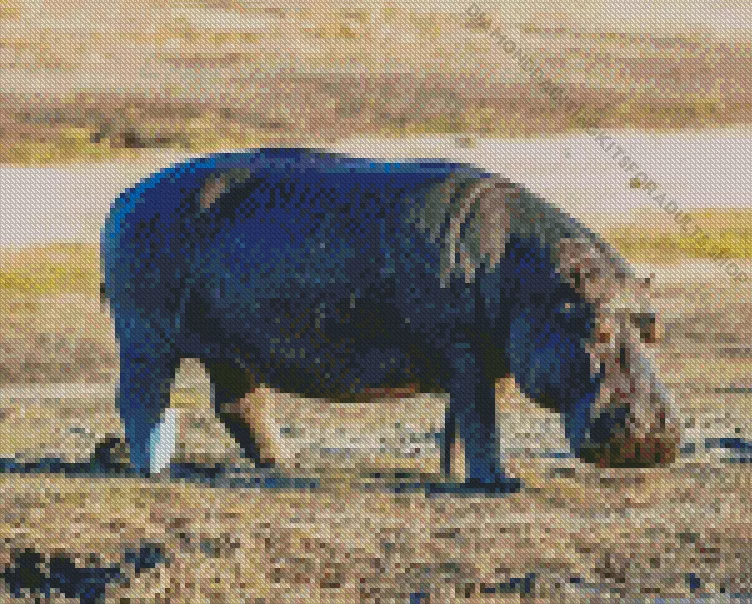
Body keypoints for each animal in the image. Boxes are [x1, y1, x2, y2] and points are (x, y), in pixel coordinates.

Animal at [101, 148, 679, 493]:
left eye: (652, 327)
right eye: (595, 328)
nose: (652, 436)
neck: (538, 281)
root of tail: (125, 195)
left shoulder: (482, 358)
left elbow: (464, 421)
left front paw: (454, 472)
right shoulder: (467, 355)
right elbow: (481, 419)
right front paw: (499, 483)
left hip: (232, 346)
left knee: (240, 404)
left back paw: (286, 464)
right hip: (145, 337)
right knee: (143, 398)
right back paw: (153, 469)